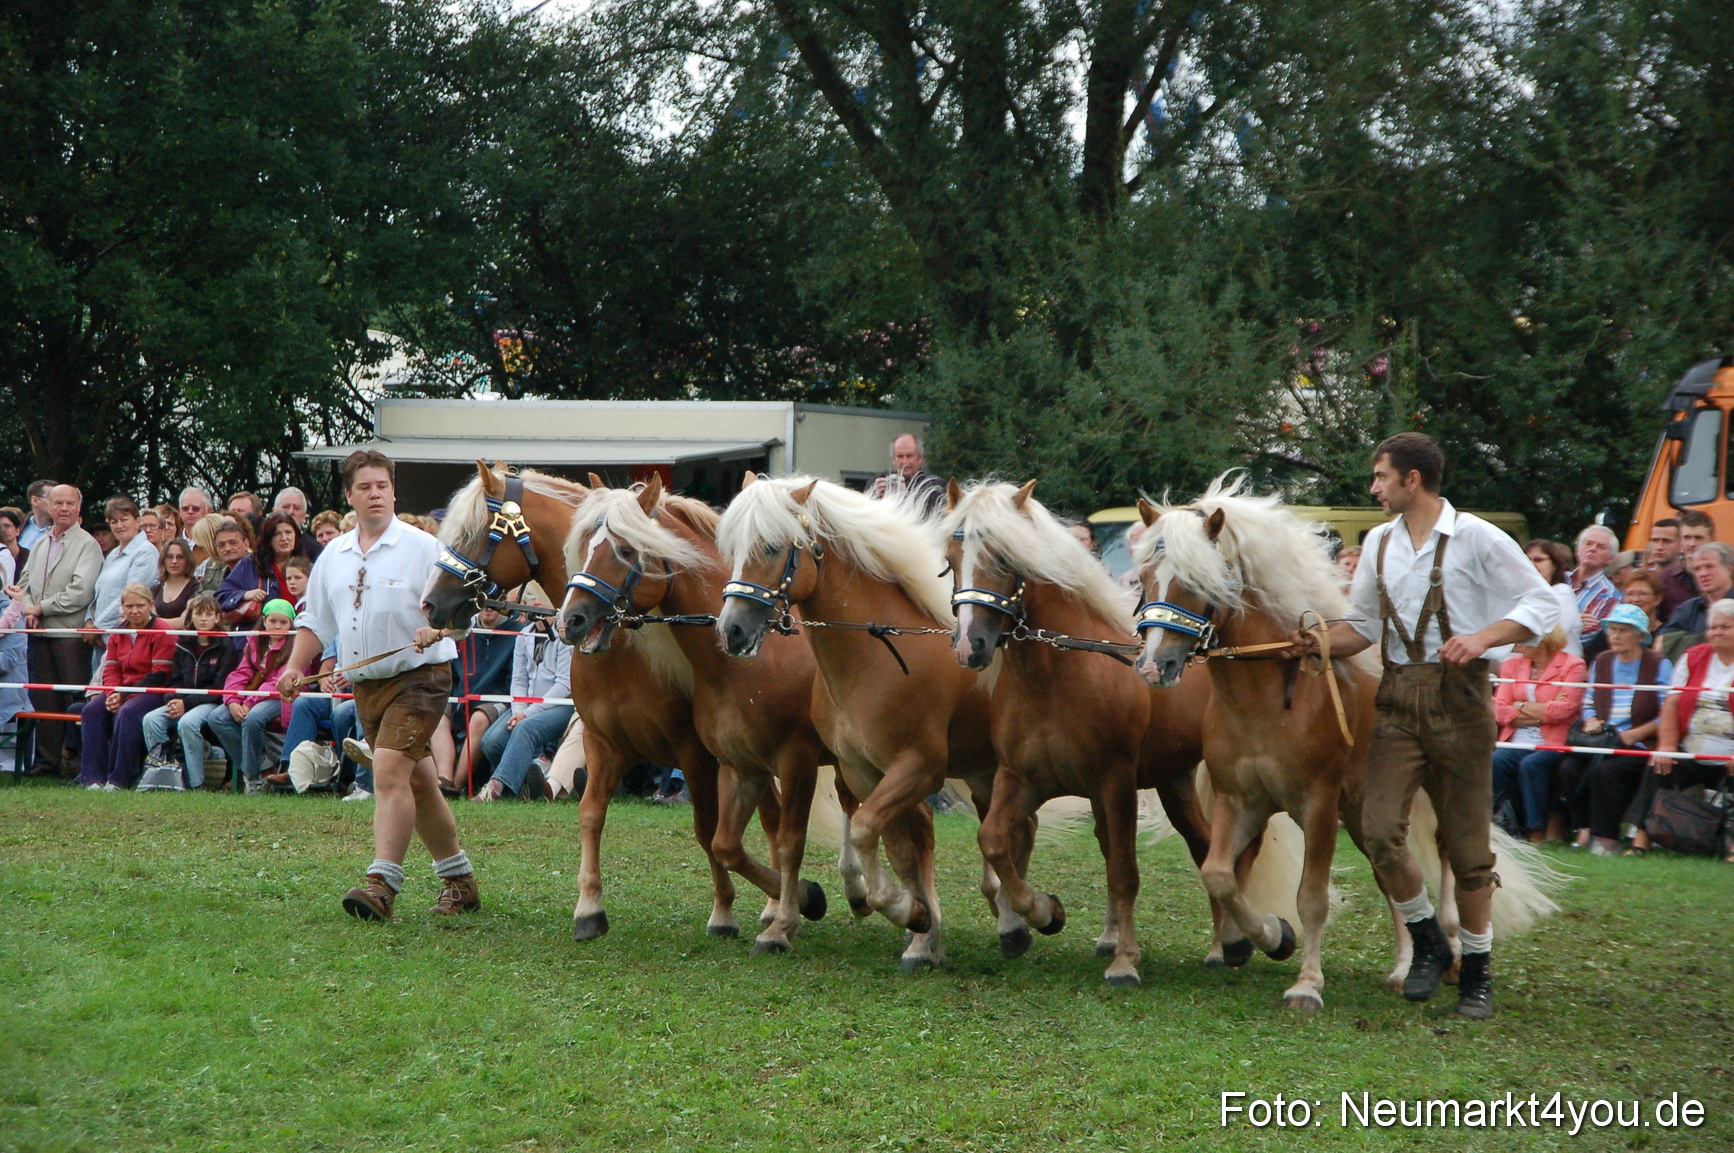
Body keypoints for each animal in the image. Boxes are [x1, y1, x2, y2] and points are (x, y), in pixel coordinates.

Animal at [420, 461, 778, 941]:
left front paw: (723, 911)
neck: (626, 650)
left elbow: (707, 829)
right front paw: (589, 908)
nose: (430, 604)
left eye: (474, 534)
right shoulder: (602, 743)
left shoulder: (695, 753)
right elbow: (590, 814)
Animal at [715, 473, 1003, 972]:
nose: (731, 630)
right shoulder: (860, 771)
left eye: (771, 547)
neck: (878, 656)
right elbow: (893, 845)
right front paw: (915, 919)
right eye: (732, 547)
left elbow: (847, 835)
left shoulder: (913, 767)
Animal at [941, 478, 1257, 987]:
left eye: (1006, 557)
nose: (971, 646)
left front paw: (1125, 961)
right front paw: (1043, 913)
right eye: (951, 558)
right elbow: (993, 840)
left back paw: (1226, 944)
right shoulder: (1021, 779)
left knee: (1204, 847)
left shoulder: (1116, 782)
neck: (1054, 676)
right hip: (1169, 781)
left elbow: (1125, 871)